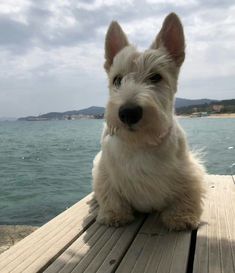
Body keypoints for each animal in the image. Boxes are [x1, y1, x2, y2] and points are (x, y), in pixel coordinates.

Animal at [92, 12, 205, 230]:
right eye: (117, 80)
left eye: (155, 77)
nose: (128, 113)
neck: (141, 143)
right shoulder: (105, 172)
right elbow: (111, 196)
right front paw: (113, 215)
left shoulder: (189, 172)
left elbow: (186, 195)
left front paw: (181, 217)